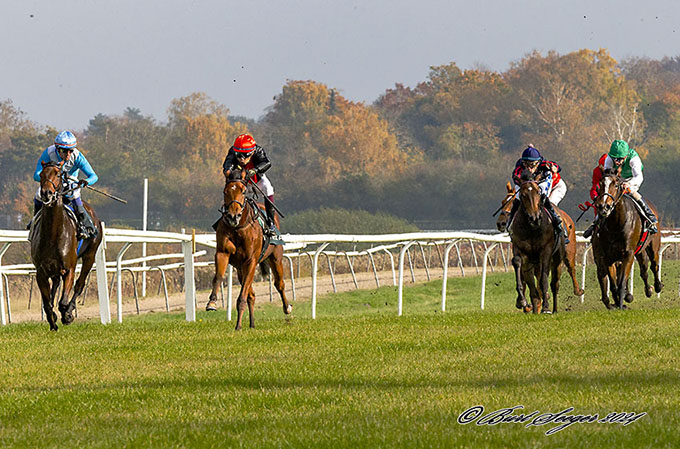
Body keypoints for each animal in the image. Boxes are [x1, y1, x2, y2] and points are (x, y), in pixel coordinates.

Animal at [30, 161, 103, 328]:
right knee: (56, 284)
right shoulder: (41, 272)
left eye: (58, 174)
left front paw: (67, 315)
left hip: (90, 256)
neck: (53, 234)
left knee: (80, 284)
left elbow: (63, 301)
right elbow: (47, 303)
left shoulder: (69, 268)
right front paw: (52, 321)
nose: (47, 193)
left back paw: (69, 309)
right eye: (41, 174)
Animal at [207, 166, 292, 328]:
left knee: (279, 284)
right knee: (251, 295)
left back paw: (287, 308)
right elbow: (219, 277)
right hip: (241, 269)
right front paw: (212, 302)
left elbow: (242, 295)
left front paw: (238, 326)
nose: (232, 216)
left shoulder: (251, 261)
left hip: (275, 258)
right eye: (225, 192)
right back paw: (251, 324)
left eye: (243, 191)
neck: (238, 227)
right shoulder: (223, 253)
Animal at [500, 179, 584, 312]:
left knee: (561, 277)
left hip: (564, 255)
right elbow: (519, 267)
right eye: (522, 196)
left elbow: (543, 280)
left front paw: (545, 306)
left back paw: (571, 296)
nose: (501, 223)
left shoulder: (545, 252)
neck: (532, 228)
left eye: (538, 193)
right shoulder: (520, 251)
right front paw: (522, 301)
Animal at [592, 168, 660, 308]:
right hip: (639, 251)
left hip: (653, 246)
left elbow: (622, 282)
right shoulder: (608, 257)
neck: (616, 224)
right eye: (600, 184)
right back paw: (648, 290)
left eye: (616, 184)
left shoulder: (628, 254)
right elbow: (613, 285)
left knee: (654, 265)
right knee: (644, 269)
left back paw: (657, 286)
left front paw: (621, 304)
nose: (603, 206)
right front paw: (619, 303)